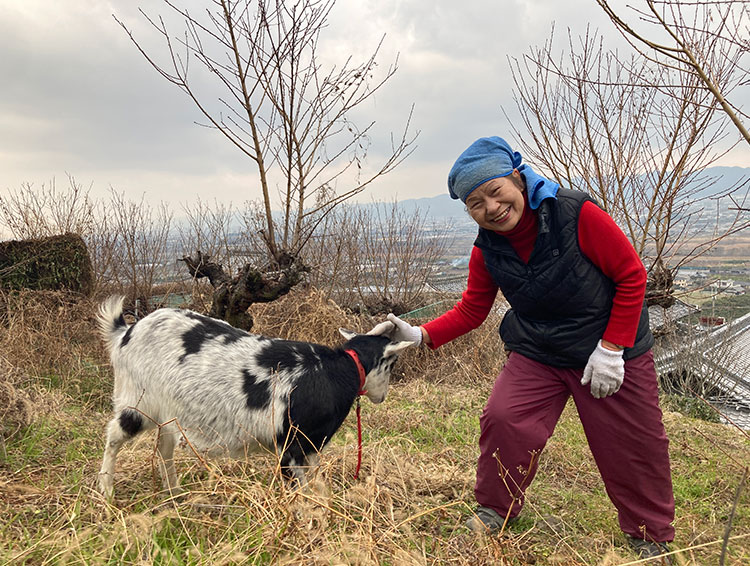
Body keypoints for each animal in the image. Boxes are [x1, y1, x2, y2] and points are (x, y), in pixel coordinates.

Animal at [97, 296, 412, 500]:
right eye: (392, 363)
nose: (382, 397)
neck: (338, 371)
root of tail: (125, 332)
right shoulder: (292, 446)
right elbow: (298, 490)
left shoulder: (310, 447)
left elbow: (314, 482)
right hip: (138, 401)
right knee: (113, 434)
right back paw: (106, 491)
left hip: (167, 411)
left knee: (164, 448)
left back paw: (174, 494)